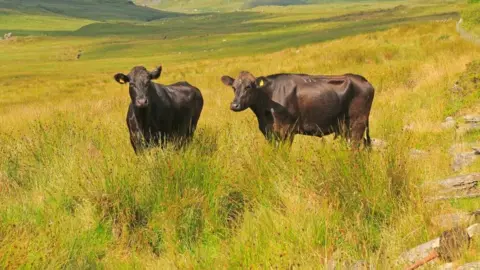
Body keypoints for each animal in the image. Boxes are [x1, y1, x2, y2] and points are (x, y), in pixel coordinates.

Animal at [221, 71, 376, 148]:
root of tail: (364, 80)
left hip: (357, 123)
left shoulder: (286, 130)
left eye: (249, 87)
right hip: (345, 128)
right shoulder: (269, 132)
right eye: (234, 88)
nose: (234, 105)